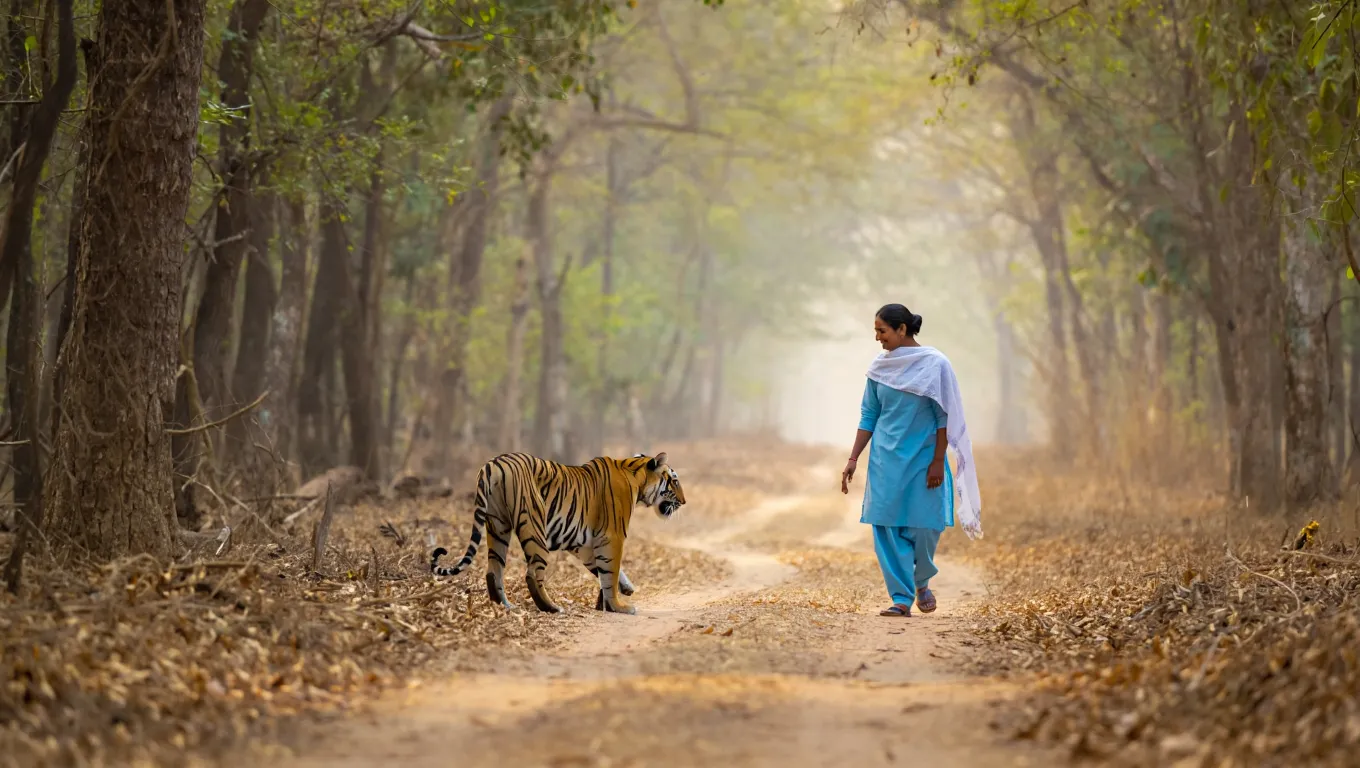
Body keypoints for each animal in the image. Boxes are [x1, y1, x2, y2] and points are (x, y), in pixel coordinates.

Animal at [429, 451, 685, 615]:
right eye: (674, 481)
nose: (684, 502)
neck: (635, 476)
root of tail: (493, 465)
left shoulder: (583, 545)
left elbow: (603, 570)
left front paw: (625, 589)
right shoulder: (612, 536)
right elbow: (610, 571)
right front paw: (619, 606)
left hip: (497, 526)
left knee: (494, 569)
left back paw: (505, 606)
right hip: (534, 525)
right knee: (533, 573)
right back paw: (551, 608)